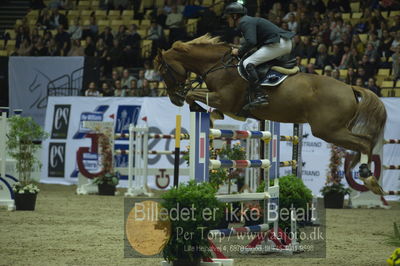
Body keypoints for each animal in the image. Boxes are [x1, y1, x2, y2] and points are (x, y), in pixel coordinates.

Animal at [154, 33, 388, 195]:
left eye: (163, 70)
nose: (174, 99)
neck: (218, 65)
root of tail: (350, 88)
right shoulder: (224, 103)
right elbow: (209, 107)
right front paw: (208, 116)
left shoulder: (224, 99)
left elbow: (193, 94)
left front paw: (196, 107)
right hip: (333, 130)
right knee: (364, 143)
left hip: (329, 130)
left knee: (364, 142)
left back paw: (369, 179)